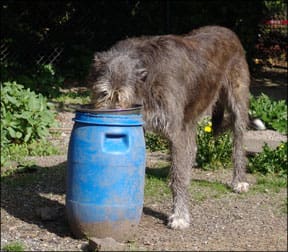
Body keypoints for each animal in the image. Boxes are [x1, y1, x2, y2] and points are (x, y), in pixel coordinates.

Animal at [87, 26, 250, 230]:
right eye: (103, 93)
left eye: (122, 98)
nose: (107, 119)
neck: (147, 79)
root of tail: (227, 30)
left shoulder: (175, 131)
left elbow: (178, 177)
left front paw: (179, 216)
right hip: (192, 112)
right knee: (193, 145)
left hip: (236, 100)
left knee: (238, 140)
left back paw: (239, 180)